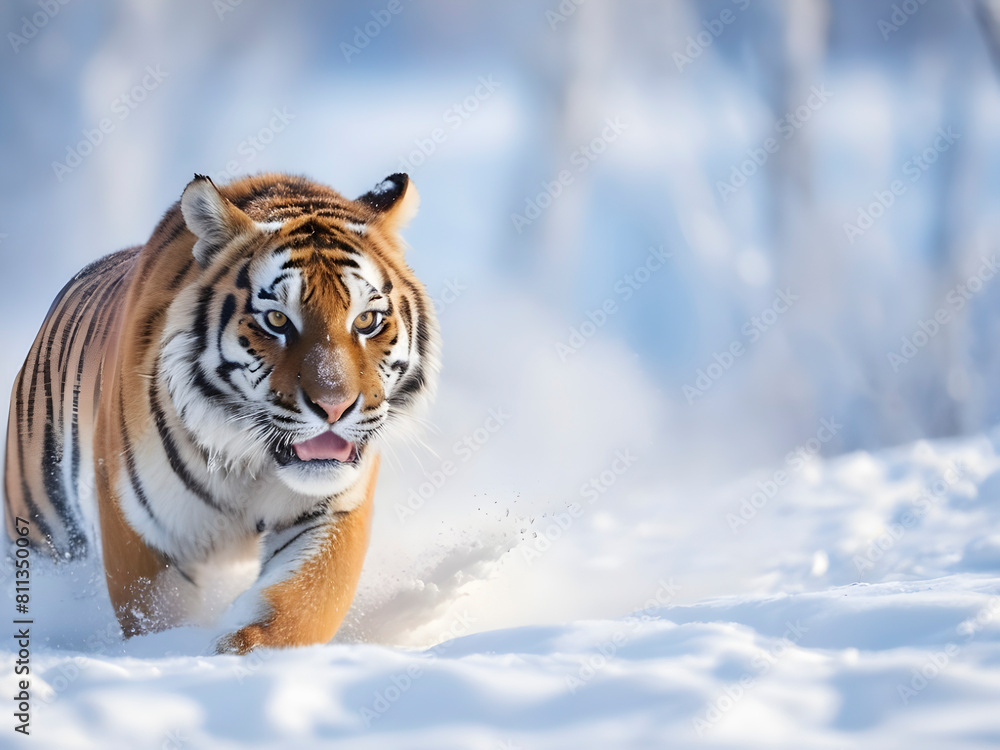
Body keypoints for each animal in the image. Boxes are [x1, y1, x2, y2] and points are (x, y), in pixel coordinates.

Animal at [3, 172, 440, 653]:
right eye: (276, 320)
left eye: (365, 321)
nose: (334, 407)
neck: (251, 464)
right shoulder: (143, 529)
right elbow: (155, 613)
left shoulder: (334, 508)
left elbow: (303, 604)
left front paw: (236, 649)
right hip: (46, 528)